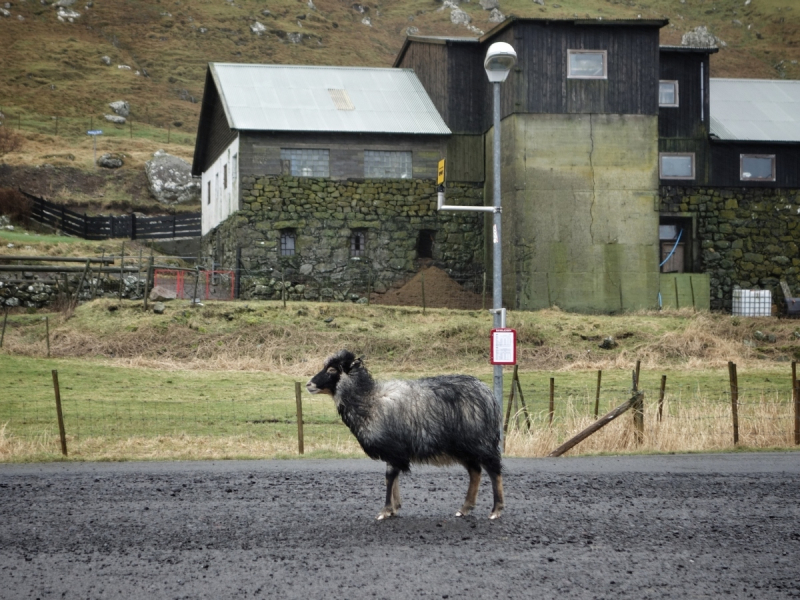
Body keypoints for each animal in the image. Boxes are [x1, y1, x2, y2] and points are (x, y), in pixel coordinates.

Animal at [308, 350, 506, 516]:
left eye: (332, 369)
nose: (309, 384)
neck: (368, 400)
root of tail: (489, 395)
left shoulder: (394, 447)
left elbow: (389, 477)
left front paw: (386, 510)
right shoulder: (394, 451)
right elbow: (392, 477)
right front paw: (395, 507)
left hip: (480, 441)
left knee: (493, 470)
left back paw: (496, 510)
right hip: (463, 447)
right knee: (475, 472)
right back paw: (465, 508)